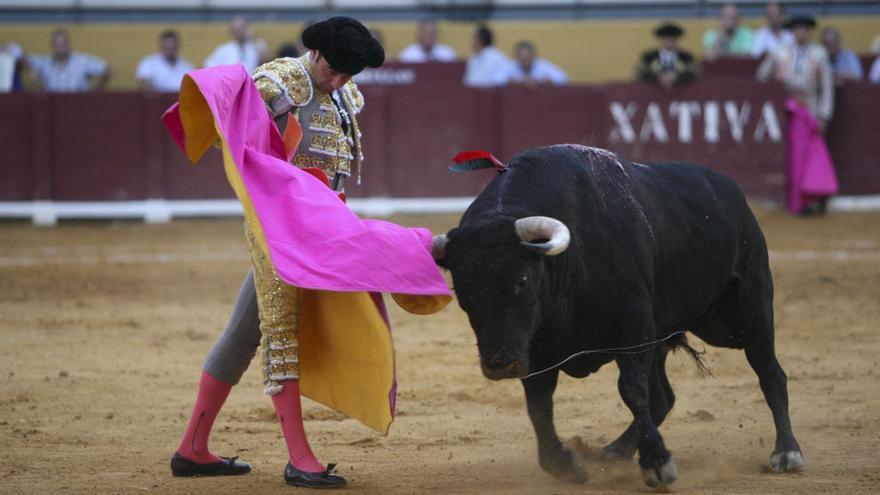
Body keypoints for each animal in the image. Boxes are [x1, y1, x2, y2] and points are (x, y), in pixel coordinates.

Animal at [434, 145, 804, 490]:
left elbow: (632, 390)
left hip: (749, 308)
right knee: (664, 396)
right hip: (668, 333)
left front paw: (657, 464)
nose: (500, 364)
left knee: (770, 372)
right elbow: (539, 406)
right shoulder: (536, 349)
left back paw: (786, 452)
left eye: (522, 280)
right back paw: (614, 452)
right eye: (461, 291)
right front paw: (566, 465)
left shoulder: (634, 329)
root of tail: (733, 191)